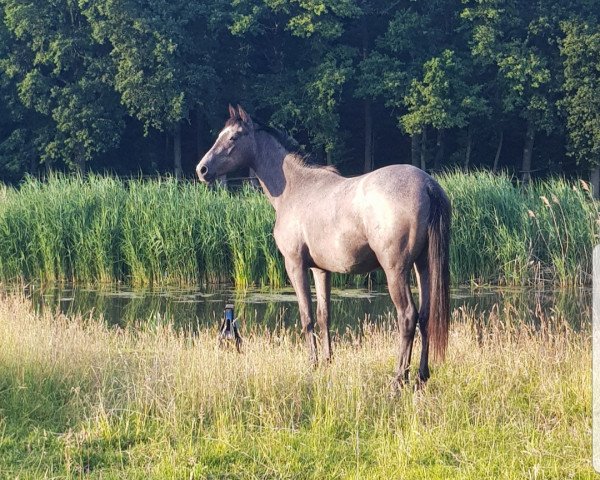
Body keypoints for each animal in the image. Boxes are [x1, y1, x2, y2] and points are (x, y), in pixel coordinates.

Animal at [197, 106, 450, 390]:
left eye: (233, 137)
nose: (202, 169)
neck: (296, 189)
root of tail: (427, 184)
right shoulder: (320, 270)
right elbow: (323, 315)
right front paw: (328, 361)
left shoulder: (295, 265)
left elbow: (306, 315)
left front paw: (312, 363)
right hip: (423, 266)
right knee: (426, 316)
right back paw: (421, 375)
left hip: (396, 270)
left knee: (407, 316)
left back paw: (398, 379)